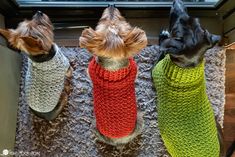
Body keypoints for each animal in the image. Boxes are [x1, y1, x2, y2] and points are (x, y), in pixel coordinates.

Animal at [80, 5, 147, 146]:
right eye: (104, 20)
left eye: (120, 19)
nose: (111, 5)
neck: (113, 69)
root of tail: (119, 141)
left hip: (94, 125)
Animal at [152, 0, 222, 156]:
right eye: (194, 19)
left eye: (176, 25)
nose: (177, 1)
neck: (188, 66)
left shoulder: (155, 70)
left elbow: (162, 51)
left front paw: (163, 37)